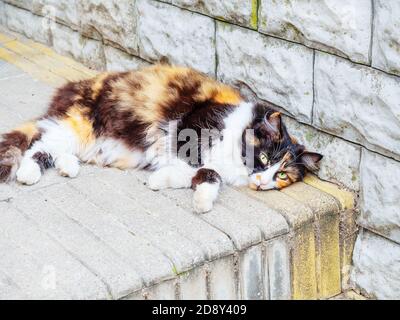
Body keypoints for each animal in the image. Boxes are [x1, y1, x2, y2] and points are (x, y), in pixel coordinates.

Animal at [0, 63, 322, 212]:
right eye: (265, 157)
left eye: (282, 175)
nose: (263, 181)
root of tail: (72, 87)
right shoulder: (187, 133)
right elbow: (204, 171)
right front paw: (194, 196)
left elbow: (202, 173)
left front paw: (166, 181)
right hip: (77, 126)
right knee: (37, 147)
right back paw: (29, 174)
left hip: (82, 140)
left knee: (54, 149)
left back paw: (69, 167)